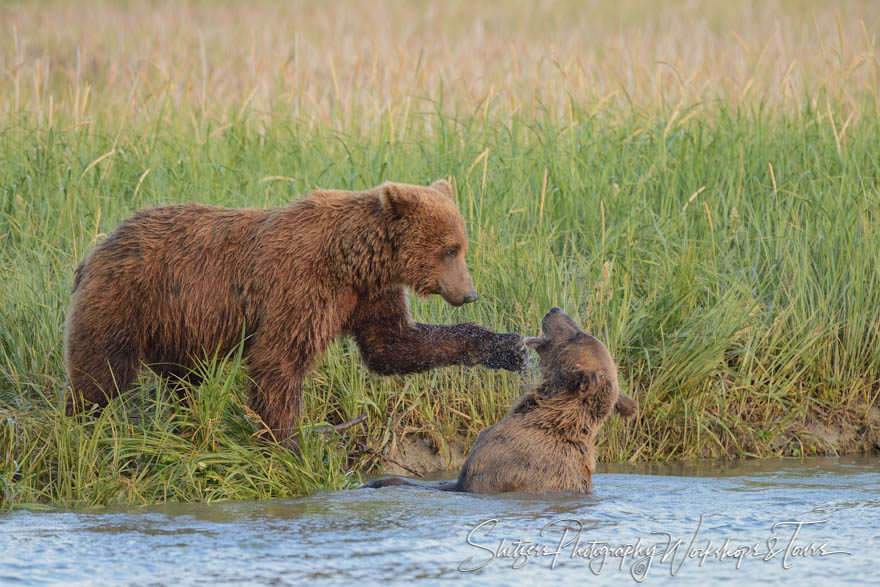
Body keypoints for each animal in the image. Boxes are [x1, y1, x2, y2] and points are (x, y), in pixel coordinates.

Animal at [67, 179, 528, 440]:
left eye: (462, 246)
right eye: (450, 249)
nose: (469, 293)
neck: (352, 260)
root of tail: (97, 248)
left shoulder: (367, 294)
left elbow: (394, 346)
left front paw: (507, 347)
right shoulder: (302, 286)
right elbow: (278, 360)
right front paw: (288, 441)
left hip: (178, 323)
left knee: (184, 378)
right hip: (127, 299)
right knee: (101, 371)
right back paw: (82, 423)